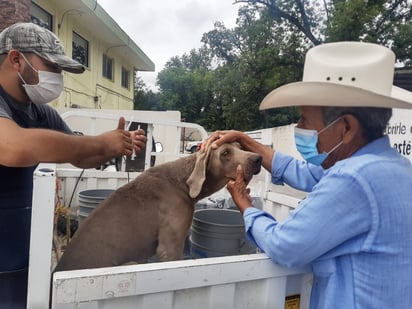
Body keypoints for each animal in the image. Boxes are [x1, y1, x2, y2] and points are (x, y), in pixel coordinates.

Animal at [54, 142, 262, 270]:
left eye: (240, 146)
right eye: (225, 153)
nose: (258, 158)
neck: (182, 182)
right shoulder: (169, 247)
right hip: (131, 263)